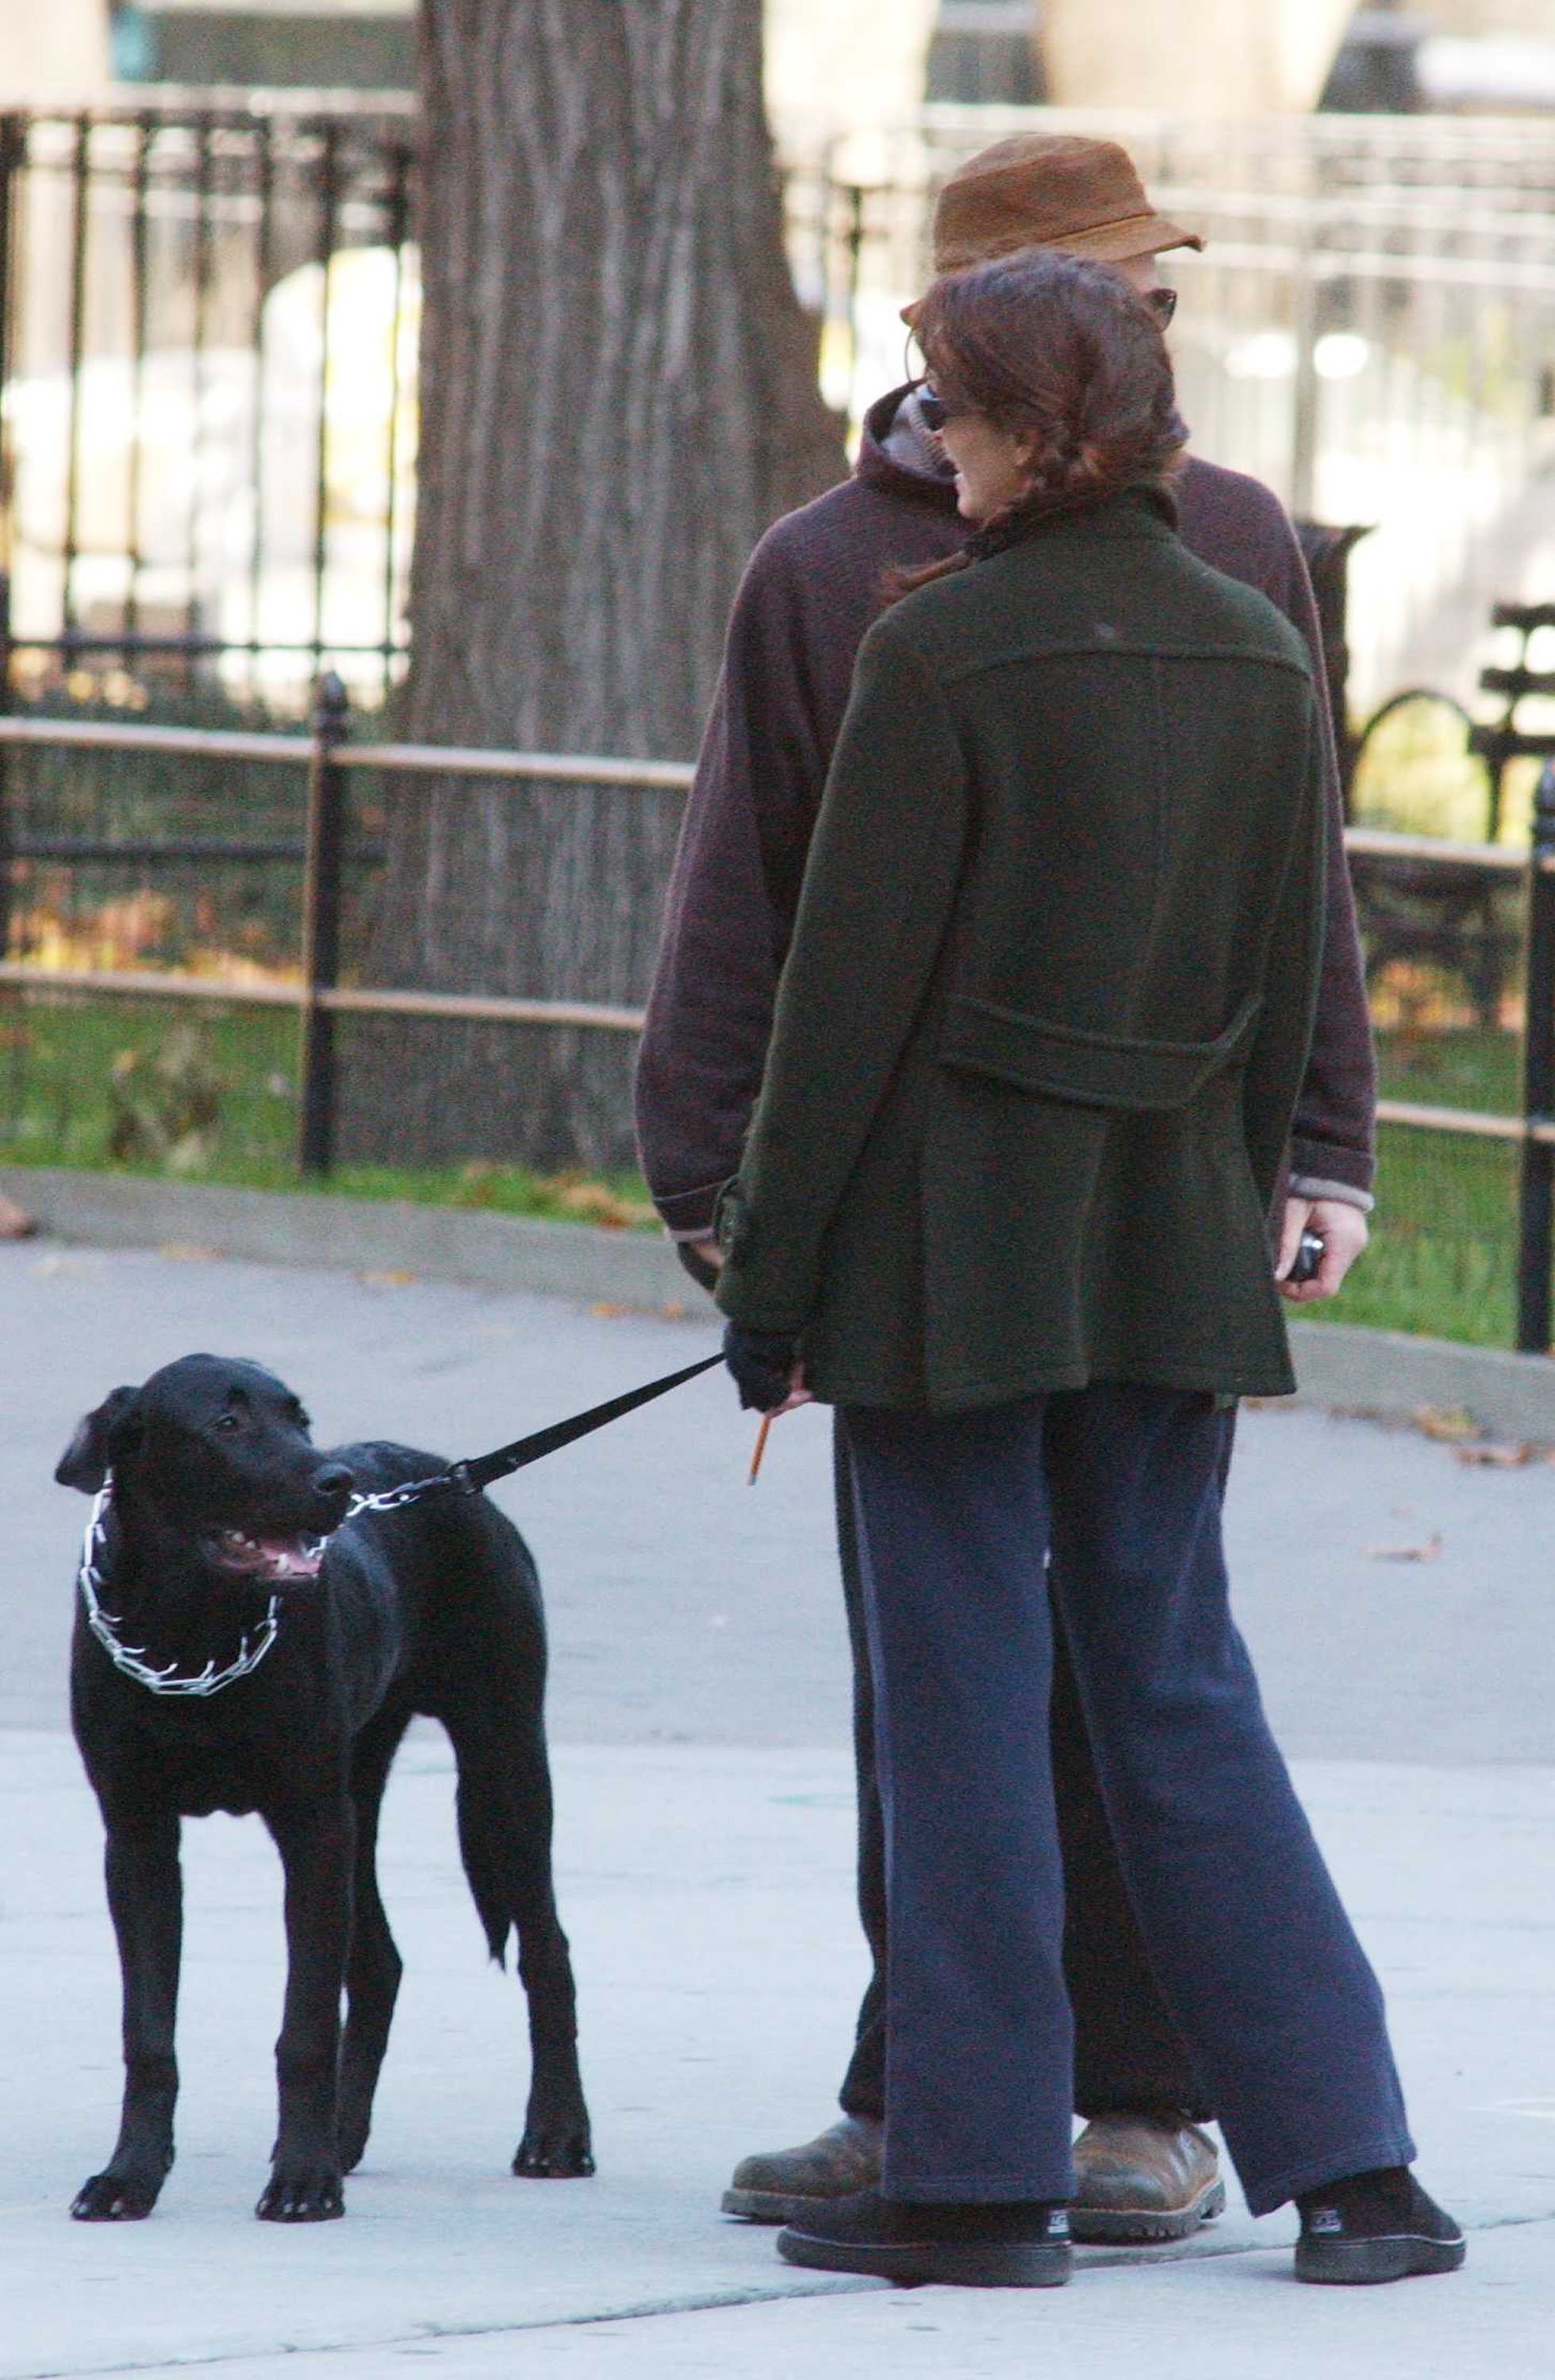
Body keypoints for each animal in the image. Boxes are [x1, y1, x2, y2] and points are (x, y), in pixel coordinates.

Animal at [57, 1361, 590, 2228]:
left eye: (300, 1420)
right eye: (227, 1424)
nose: (335, 1482)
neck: (192, 1628)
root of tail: (457, 1479)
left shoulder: (309, 1827)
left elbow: (303, 2027)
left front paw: (302, 2181)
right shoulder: (137, 1840)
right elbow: (149, 2033)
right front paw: (130, 2176)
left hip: (502, 1768)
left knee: (548, 1953)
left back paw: (556, 2134)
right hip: (359, 1796)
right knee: (379, 1961)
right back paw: (344, 2134)